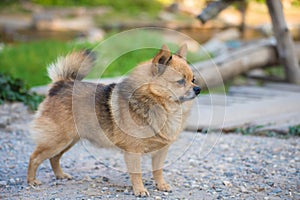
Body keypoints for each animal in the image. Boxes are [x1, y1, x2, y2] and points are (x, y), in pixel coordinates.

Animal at [27, 44, 202, 197]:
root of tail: (61, 84)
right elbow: (137, 173)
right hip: (57, 141)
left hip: (68, 141)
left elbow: (157, 170)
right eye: (181, 81)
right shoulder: (133, 152)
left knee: (54, 158)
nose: (198, 89)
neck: (159, 105)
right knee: (34, 157)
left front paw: (161, 185)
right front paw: (140, 190)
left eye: (193, 79)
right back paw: (31, 180)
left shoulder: (161, 151)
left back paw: (60, 175)